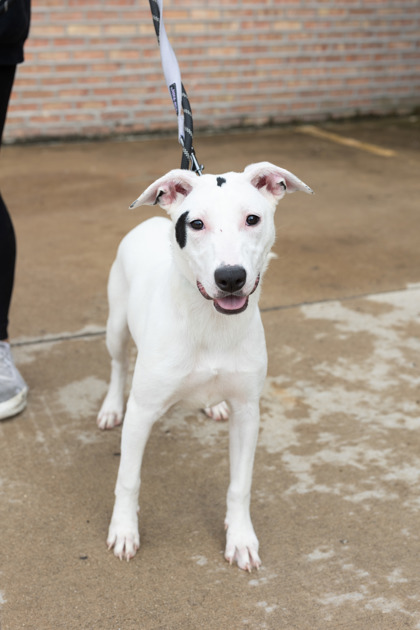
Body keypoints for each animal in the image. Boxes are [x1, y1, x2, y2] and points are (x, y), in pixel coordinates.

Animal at [97, 161, 312, 571]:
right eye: (196, 224)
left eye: (252, 219)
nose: (230, 277)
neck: (211, 322)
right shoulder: (142, 411)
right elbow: (128, 479)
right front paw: (124, 530)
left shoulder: (248, 412)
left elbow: (240, 485)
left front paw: (240, 538)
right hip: (115, 326)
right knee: (117, 365)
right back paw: (111, 407)